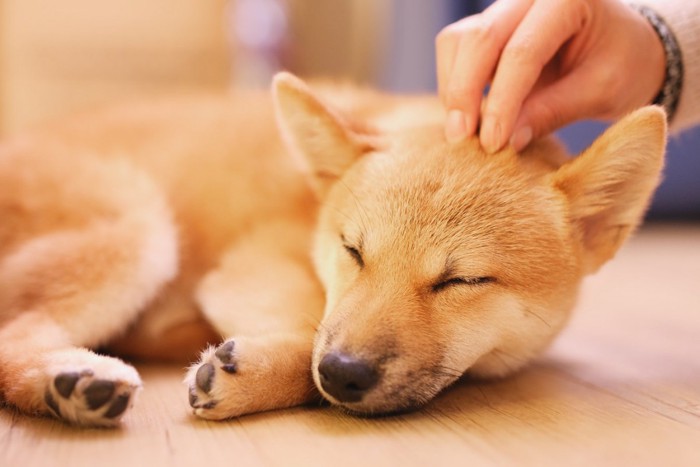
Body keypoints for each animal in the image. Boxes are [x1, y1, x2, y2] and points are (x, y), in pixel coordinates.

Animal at [0, 74, 668, 428]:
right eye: (353, 251)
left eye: (461, 281)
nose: (345, 373)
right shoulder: (253, 269)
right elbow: (308, 346)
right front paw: (259, 372)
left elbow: (311, 345)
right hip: (141, 231)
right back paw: (73, 375)